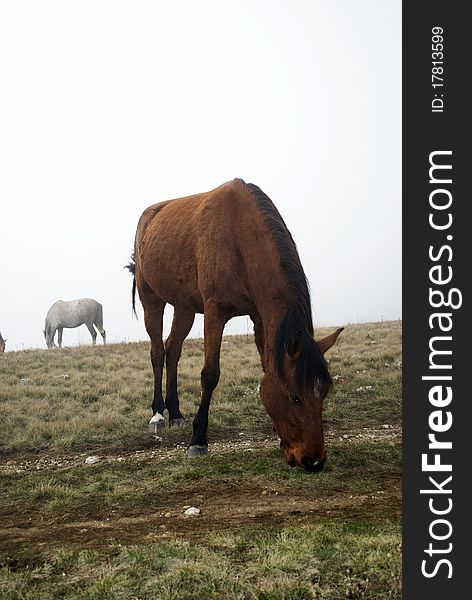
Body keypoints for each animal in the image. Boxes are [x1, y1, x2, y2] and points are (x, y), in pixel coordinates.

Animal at [129, 180, 342, 472]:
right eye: (295, 397)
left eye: (323, 394)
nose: (314, 461)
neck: (240, 236)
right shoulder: (214, 312)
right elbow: (210, 374)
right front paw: (198, 439)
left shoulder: (259, 316)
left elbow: (266, 366)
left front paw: (280, 440)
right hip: (151, 298)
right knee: (158, 352)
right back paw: (158, 414)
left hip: (184, 306)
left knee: (173, 351)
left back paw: (175, 413)